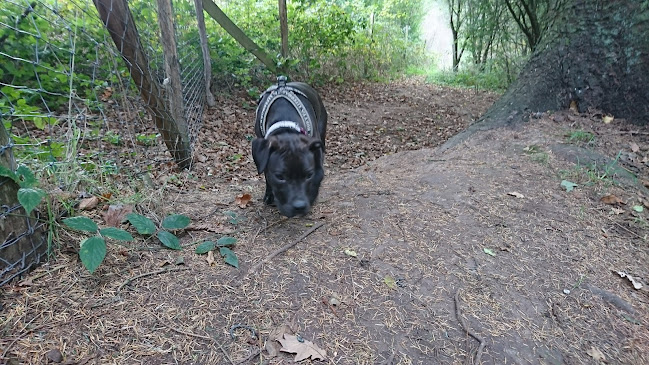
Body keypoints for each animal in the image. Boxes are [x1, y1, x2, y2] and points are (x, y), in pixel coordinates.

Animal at [251, 76, 326, 216]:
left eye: (309, 175)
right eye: (280, 177)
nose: (299, 206)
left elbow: (318, 176)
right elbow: (266, 175)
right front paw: (269, 195)